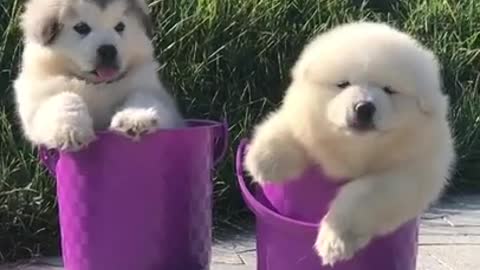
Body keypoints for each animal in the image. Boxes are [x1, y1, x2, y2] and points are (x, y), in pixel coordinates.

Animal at [14, 0, 184, 151]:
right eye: (81, 27)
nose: (108, 50)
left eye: (120, 26)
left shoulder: (154, 92)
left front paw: (136, 119)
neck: (98, 85)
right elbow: (65, 98)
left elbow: (144, 97)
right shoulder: (37, 99)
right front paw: (70, 131)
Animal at [246, 21, 456, 266]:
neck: (357, 148)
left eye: (389, 90)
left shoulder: (412, 171)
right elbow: (291, 125)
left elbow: (363, 193)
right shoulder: (305, 117)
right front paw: (264, 160)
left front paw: (335, 242)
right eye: (343, 84)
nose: (364, 108)